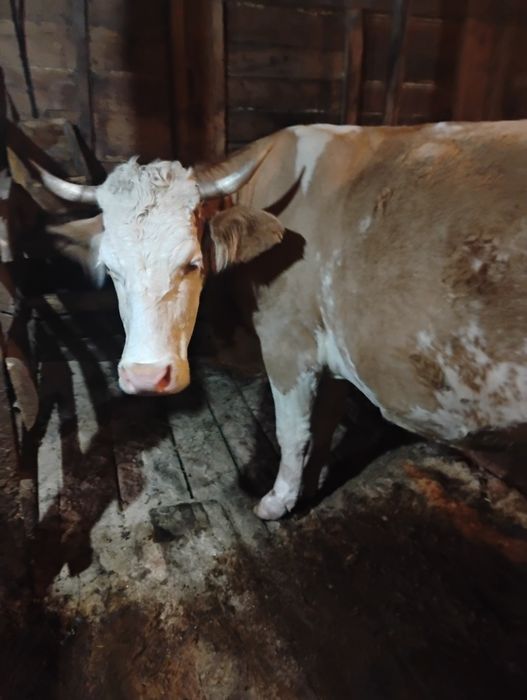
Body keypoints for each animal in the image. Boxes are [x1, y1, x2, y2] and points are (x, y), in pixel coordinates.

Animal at [36, 120, 527, 519]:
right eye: (112, 269)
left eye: (192, 264)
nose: (145, 377)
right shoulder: (330, 353)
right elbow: (322, 427)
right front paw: (307, 489)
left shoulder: (287, 344)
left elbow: (292, 432)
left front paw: (276, 503)